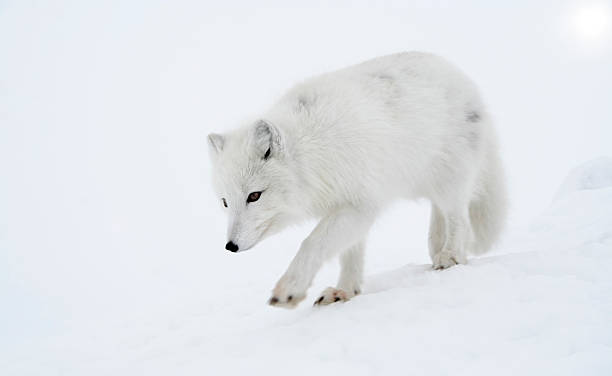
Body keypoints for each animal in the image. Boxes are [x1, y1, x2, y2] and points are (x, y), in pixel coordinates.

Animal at [208, 51, 504, 306]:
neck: (312, 151)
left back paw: (451, 255)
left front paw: (289, 289)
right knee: (440, 212)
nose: (230, 246)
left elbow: (312, 243)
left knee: (458, 217)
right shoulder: (345, 204)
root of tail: (461, 76)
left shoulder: (360, 204)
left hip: (451, 181)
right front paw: (345, 291)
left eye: (254, 196)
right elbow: (349, 253)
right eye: (225, 202)